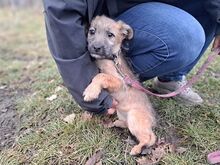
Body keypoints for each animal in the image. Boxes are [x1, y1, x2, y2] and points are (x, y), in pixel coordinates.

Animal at [82, 15, 156, 155]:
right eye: (92, 31)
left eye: (110, 35)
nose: (96, 47)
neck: (110, 59)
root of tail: (152, 119)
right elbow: (99, 74)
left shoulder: (119, 82)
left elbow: (100, 76)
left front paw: (90, 92)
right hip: (124, 115)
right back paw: (118, 123)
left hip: (134, 119)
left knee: (150, 137)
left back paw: (137, 149)